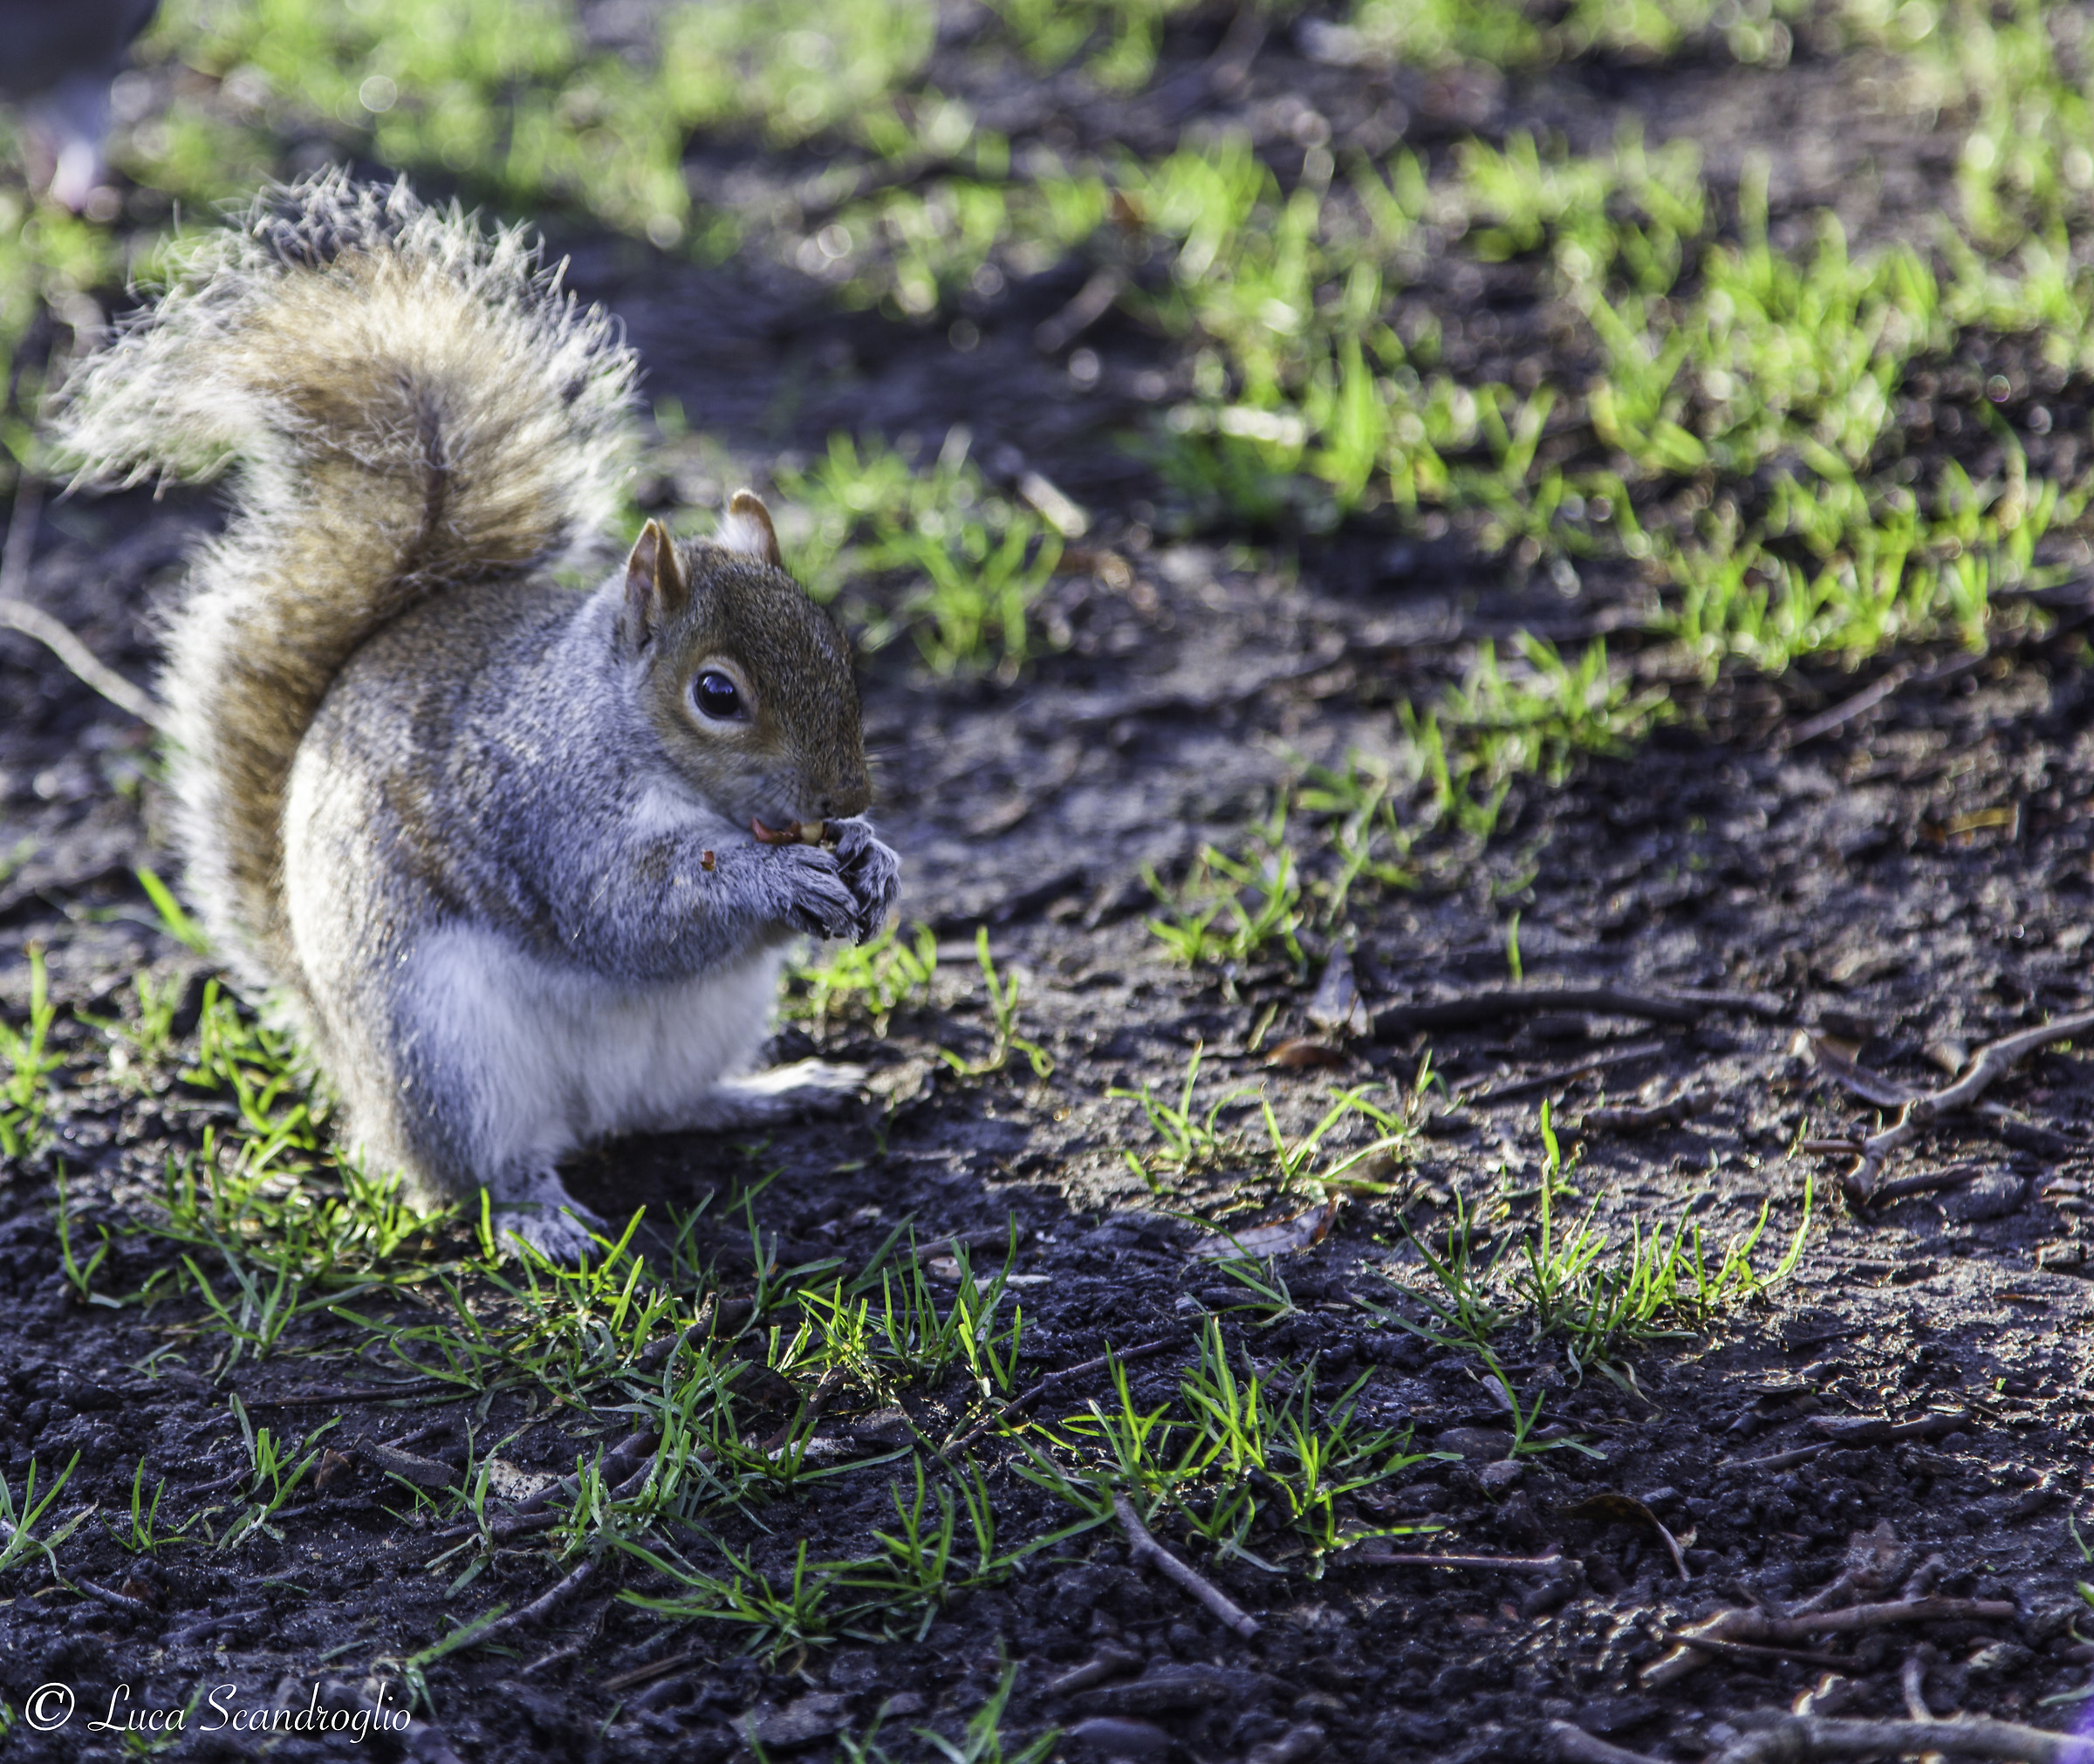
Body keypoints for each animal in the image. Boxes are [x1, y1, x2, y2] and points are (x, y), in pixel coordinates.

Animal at [51, 171, 901, 1260]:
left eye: (839, 644)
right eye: (717, 695)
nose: (843, 795)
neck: (623, 735)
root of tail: (350, 1070)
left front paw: (872, 856)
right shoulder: (543, 813)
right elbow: (629, 912)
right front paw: (772, 874)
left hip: (698, 1028)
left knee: (663, 1108)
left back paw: (768, 1092)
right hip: (446, 1056)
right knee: (474, 1177)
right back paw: (541, 1217)